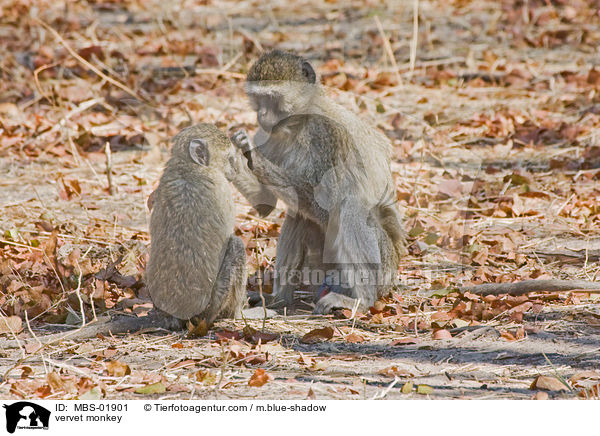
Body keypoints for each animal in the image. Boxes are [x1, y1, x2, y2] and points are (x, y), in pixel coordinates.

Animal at [230, 50, 408, 314]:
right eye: (258, 99)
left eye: (272, 99)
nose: (260, 114)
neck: (298, 124)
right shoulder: (266, 134)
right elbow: (267, 204)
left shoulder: (328, 137)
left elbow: (327, 207)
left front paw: (253, 156)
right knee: (299, 215)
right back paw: (280, 298)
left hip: (384, 268)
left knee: (349, 207)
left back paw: (361, 300)